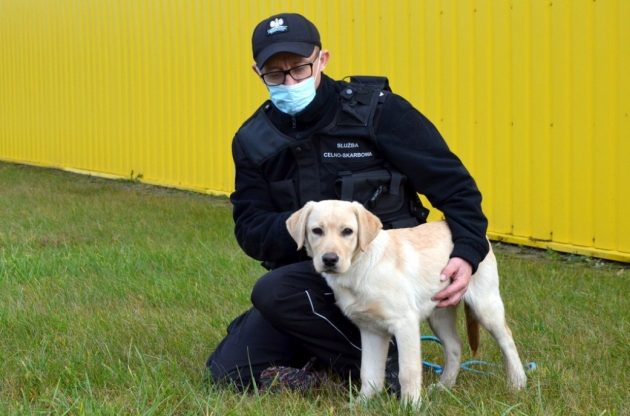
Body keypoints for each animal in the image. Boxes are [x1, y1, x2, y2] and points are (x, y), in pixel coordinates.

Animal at [286, 201, 528, 406]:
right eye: (317, 231)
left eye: (347, 231)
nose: (329, 259)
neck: (360, 267)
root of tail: (483, 238)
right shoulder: (371, 330)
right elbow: (369, 372)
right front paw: (361, 404)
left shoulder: (405, 324)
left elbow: (408, 372)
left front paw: (411, 406)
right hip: (439, 313)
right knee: (454, 347)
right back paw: (444, 386)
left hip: (485, 305)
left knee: (507, 340)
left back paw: (517, 383)